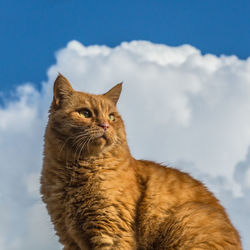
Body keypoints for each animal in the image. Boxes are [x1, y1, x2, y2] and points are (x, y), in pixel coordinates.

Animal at [41, 74, 242, 250]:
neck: (73, 174)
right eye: (85, 113)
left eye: (112, 116)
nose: (105, 125)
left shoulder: (111, 233)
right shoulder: (69, 238)